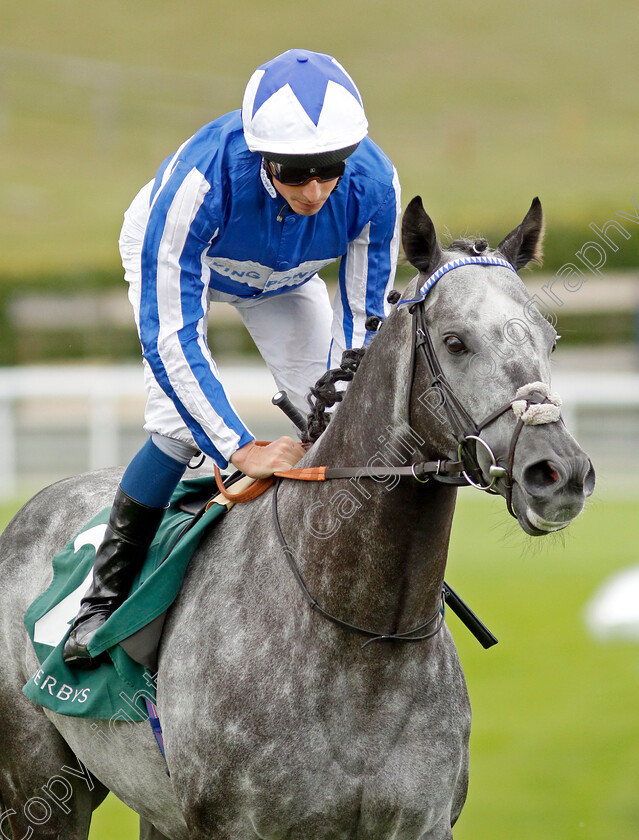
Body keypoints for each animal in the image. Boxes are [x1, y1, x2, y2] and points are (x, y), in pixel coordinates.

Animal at [0, 199, 596, 840]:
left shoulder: (423, 823)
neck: (362, 636)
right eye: (455, 341)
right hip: (37, 790)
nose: (558, 471)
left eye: (551, 340)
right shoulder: (231, 825)